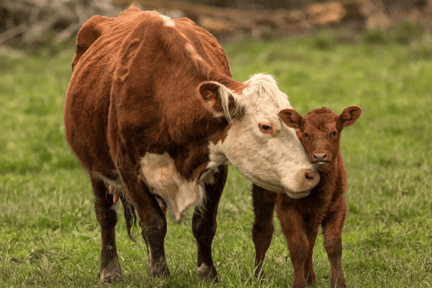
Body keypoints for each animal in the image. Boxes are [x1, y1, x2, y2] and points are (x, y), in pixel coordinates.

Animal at [64, 7, 320, 284]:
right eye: (266, 126)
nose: (310, 175)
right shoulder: (129, 169)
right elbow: (153, 223)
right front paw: (160, 274)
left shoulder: (217, 166)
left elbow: (203, 223)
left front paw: (207, 272)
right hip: (96, 167)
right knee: (106, 214)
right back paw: (110, 270)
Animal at [250, 106, 362, 288]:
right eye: (306, 133)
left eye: (334, 132)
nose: (320, 156)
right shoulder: (287, 208)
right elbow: (298, 247)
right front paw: (299, 283)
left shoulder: (338, 206)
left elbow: (333, 246)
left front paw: (338, 282)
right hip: (262, 191)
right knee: (262, 230)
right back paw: (258, 277)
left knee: (310, 239)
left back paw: (310, 278)